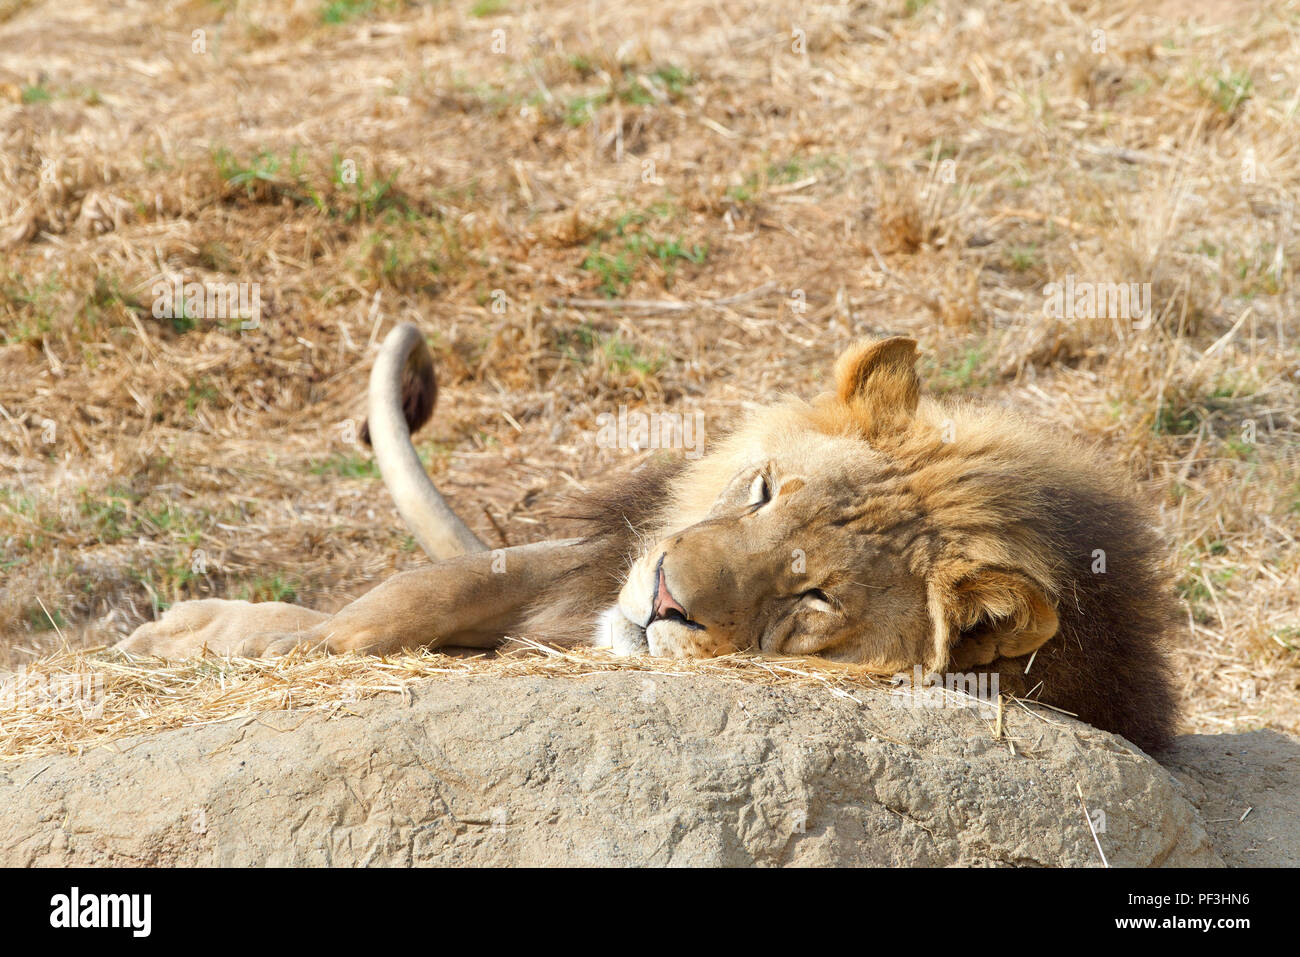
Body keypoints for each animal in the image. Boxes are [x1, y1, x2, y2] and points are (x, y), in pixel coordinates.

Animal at [118, 323, 1181, 751]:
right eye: (762, 490)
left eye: (813, 600)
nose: (664, 593)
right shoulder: (590, 561)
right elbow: (404, 603)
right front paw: (193, 639)